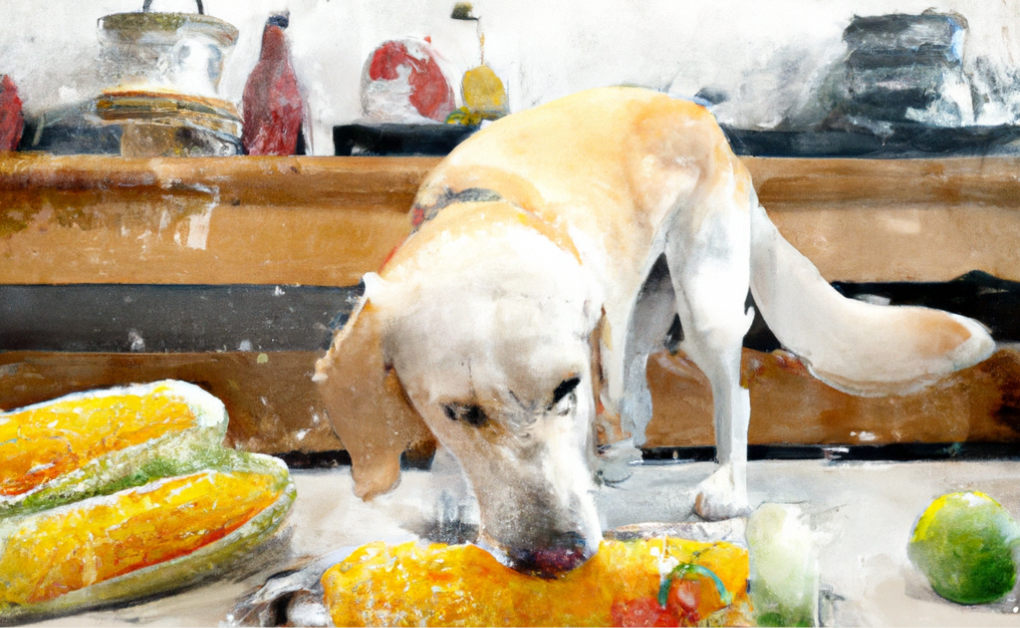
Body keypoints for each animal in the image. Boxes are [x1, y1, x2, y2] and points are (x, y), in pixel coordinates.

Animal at [312, 87, 995, 579]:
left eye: (565, 389)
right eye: (457, 412)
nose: (557, 555)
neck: (484, 209)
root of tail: (704, 118)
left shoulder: (594, 359)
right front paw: (452, 488)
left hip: (702, 301)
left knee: (730, 396)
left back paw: (723, 485)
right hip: (640, 310)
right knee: (634, 392)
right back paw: (620, 455)